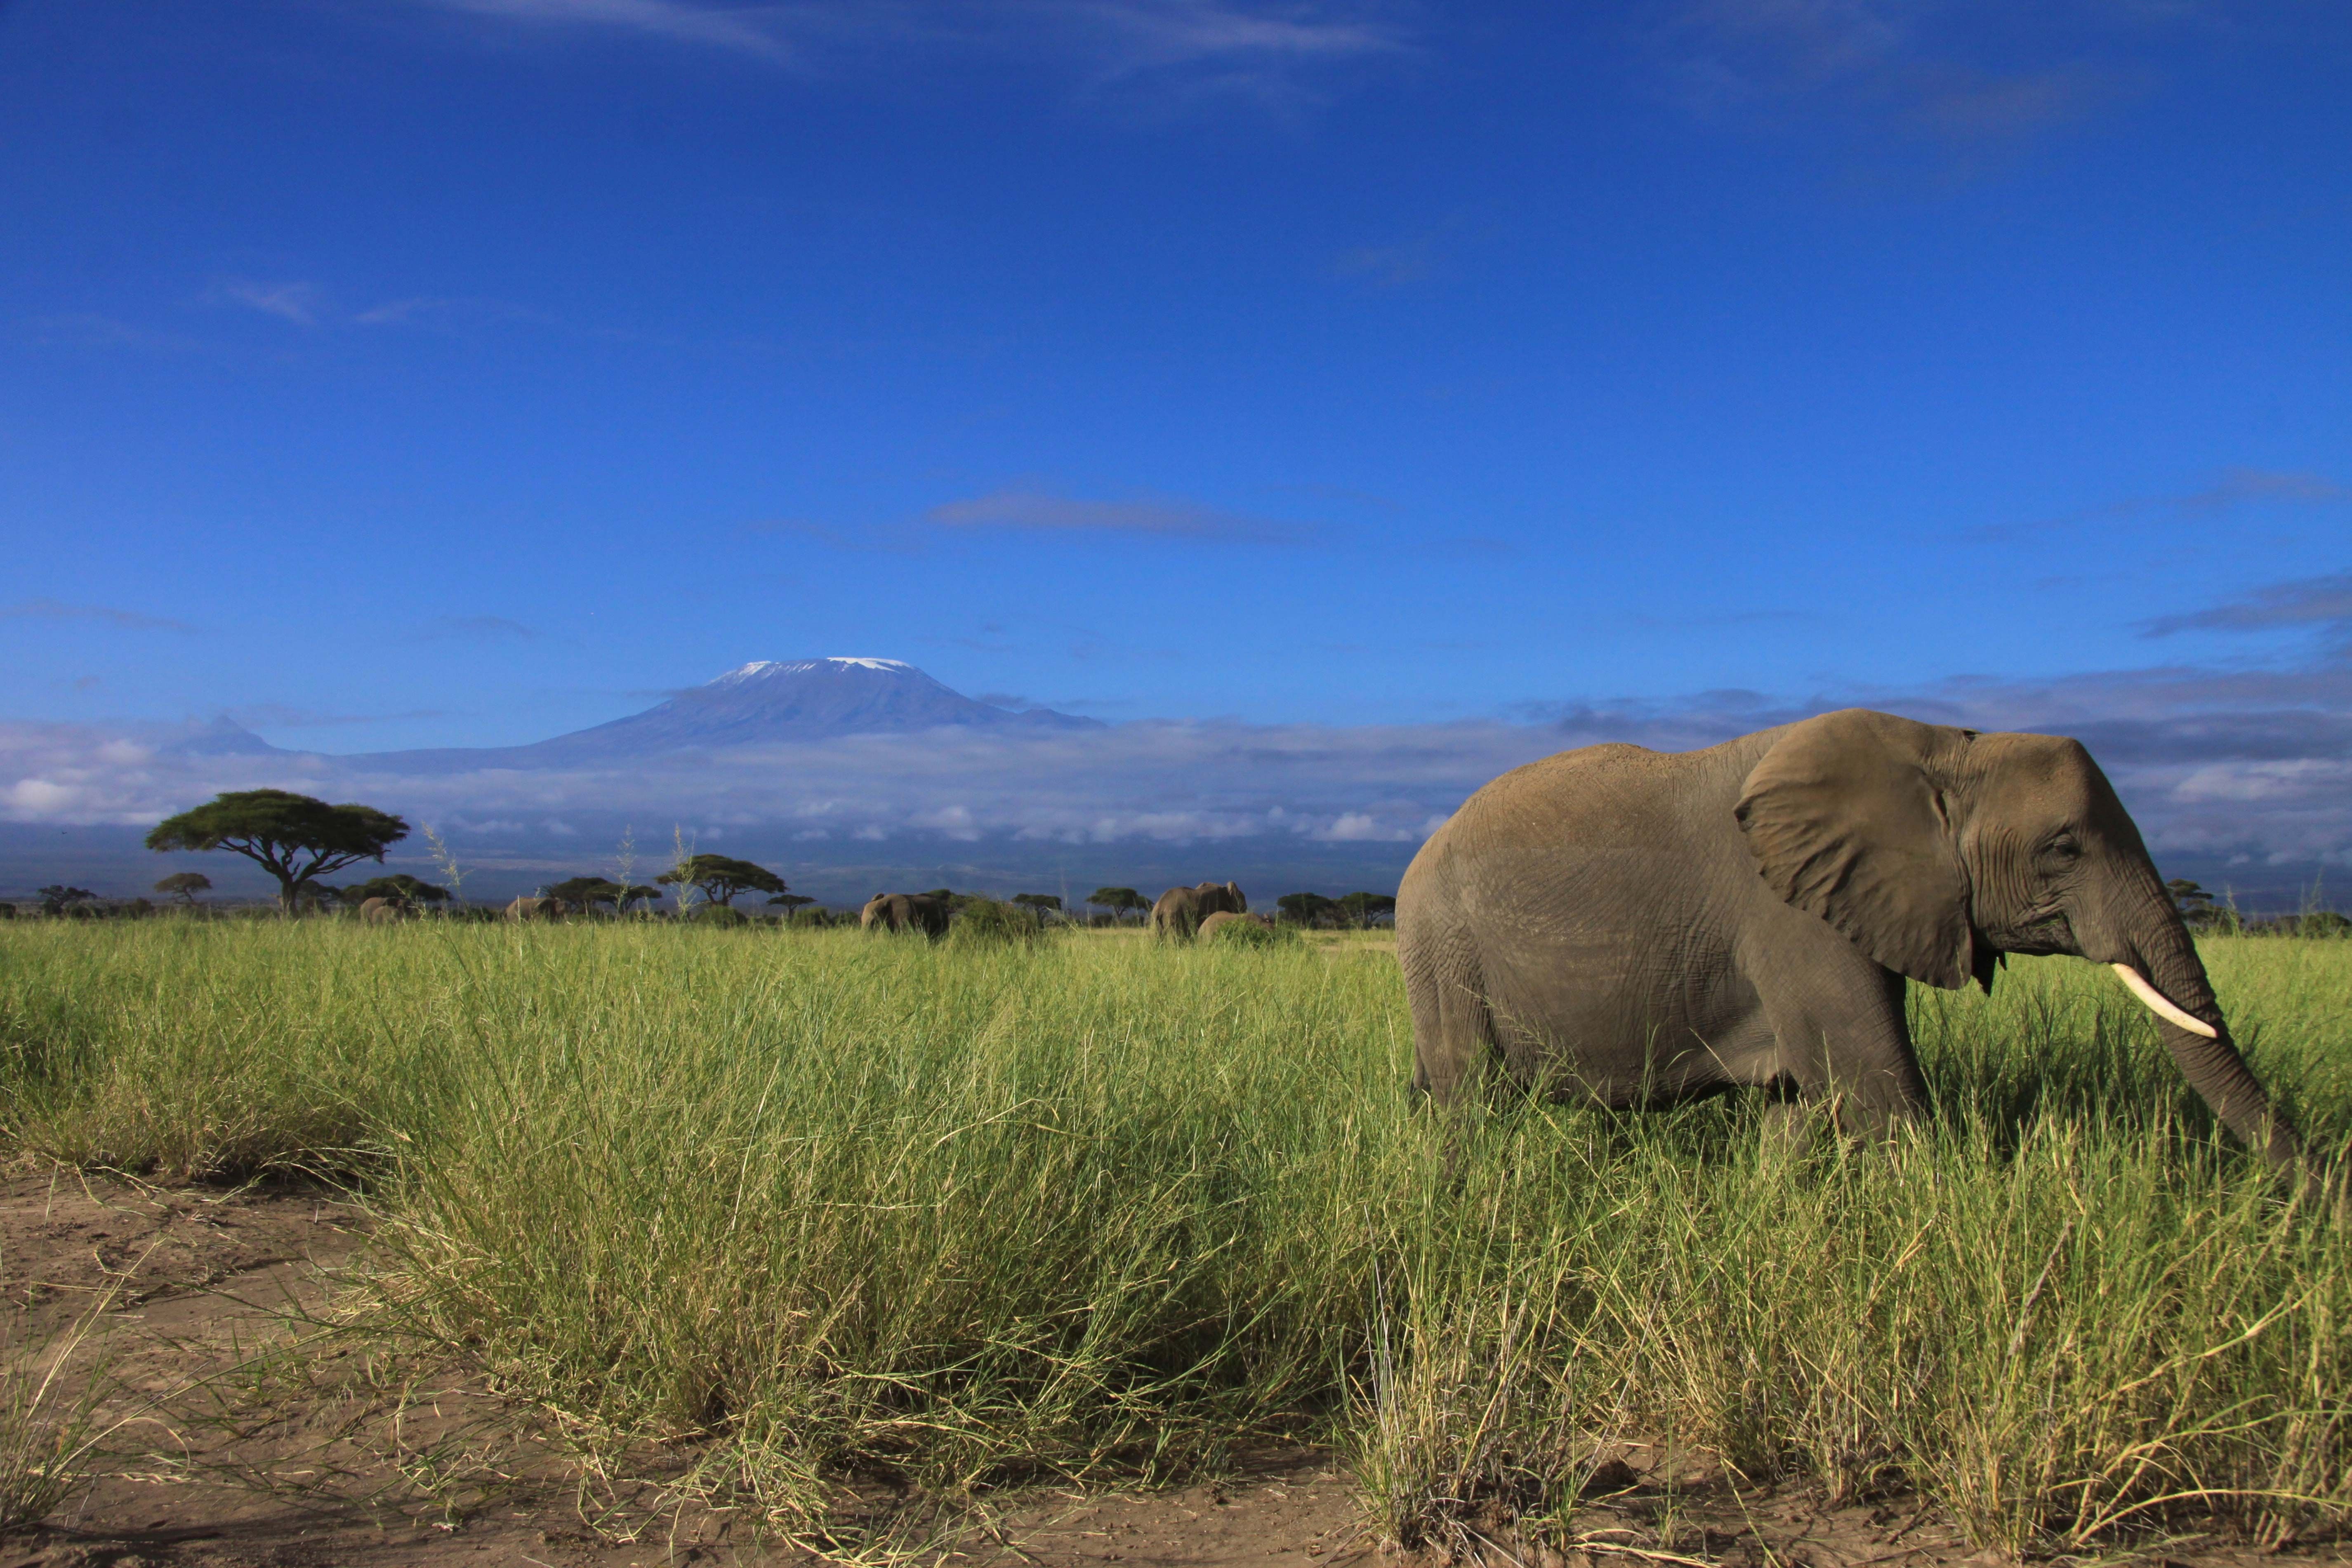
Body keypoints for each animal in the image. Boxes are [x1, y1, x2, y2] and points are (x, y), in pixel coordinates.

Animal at [1402, 710, 2305, 1175]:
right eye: (2063, 847)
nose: (2311, 1199)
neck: (1942, 748)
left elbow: (1807, 1107)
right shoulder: (1790, 913)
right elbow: (1882, 1095)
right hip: (1441, 944)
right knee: (1469, 1101)